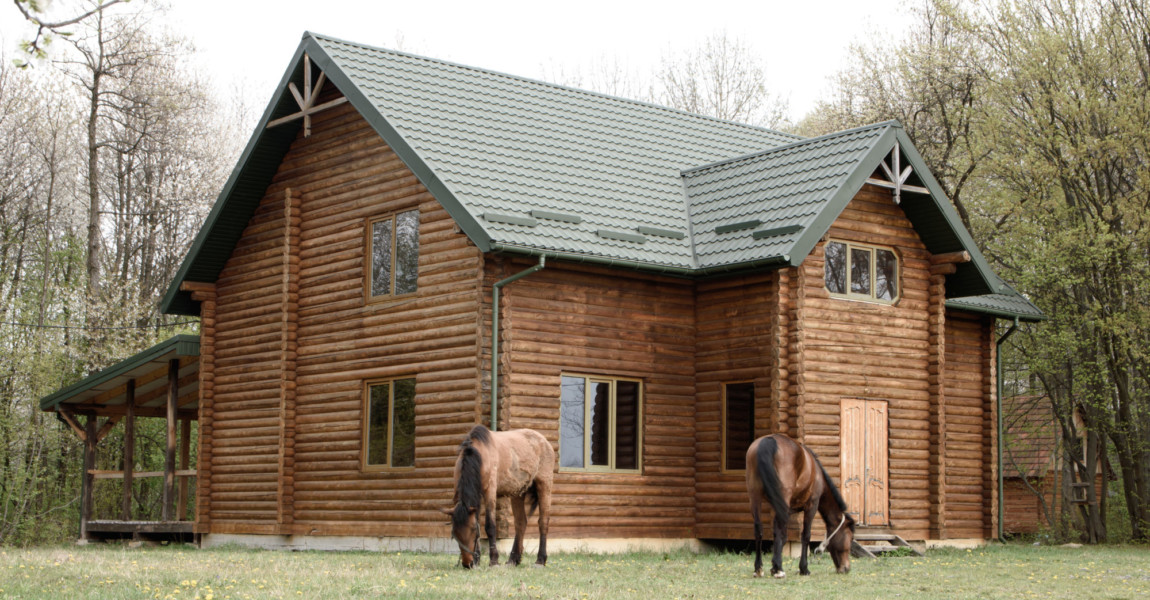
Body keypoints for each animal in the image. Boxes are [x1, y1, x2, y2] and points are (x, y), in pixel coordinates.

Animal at [439, 422, 552, 567]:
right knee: (521, 522)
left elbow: (490, 526)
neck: (479, 455)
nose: (467, 563)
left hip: (544, 485)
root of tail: (544, 440)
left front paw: (493, 560)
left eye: (472, 530)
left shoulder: (490, 492)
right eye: (454, 533)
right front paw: (478, 559)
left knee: (543, 521)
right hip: (518, 493)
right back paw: (513, 559)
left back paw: (540, 559)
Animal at [745, 432, 855, 577]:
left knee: (759, 529)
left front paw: (774, 565)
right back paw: (779, 569)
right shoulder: (811, 505)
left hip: (755, 496)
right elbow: (805, 535)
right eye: (850, 537)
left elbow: (778, 535)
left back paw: (759, 568)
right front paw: (803, 568)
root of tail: (768, 441)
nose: (846, 568)